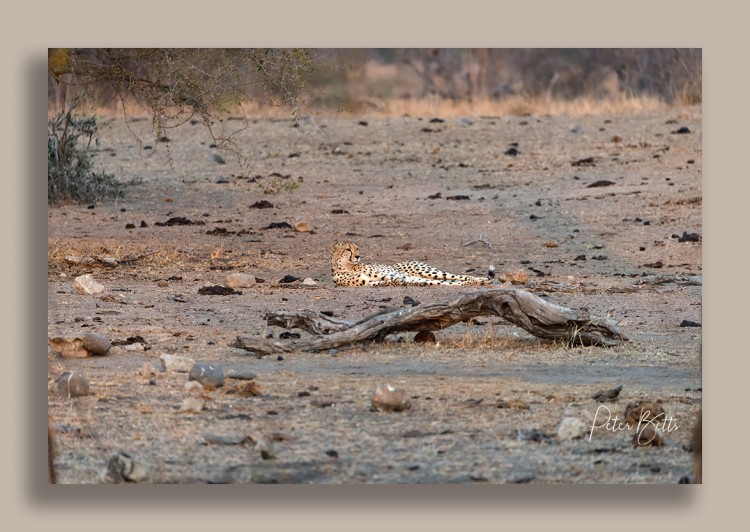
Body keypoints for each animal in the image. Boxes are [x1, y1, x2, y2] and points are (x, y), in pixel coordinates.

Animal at [328, 241, 494, 286]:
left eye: (357, 248)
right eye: (348, 249)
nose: (358, 256)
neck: (348, 266)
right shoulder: (369, 283)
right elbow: (385, 282)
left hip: (426, 271)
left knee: (459, 276)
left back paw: (481, 280)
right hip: (425, 277)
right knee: (448, 282)